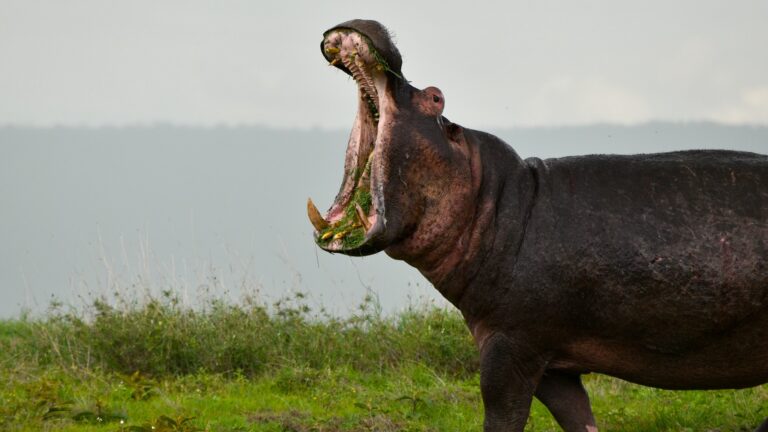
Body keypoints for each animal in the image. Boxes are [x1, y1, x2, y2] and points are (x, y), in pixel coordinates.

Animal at [306, 19, 768, 432]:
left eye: (436, 98)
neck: (491, 201)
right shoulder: (552, 365)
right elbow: (578, 417)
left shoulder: (510, 345)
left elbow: (501, 416)